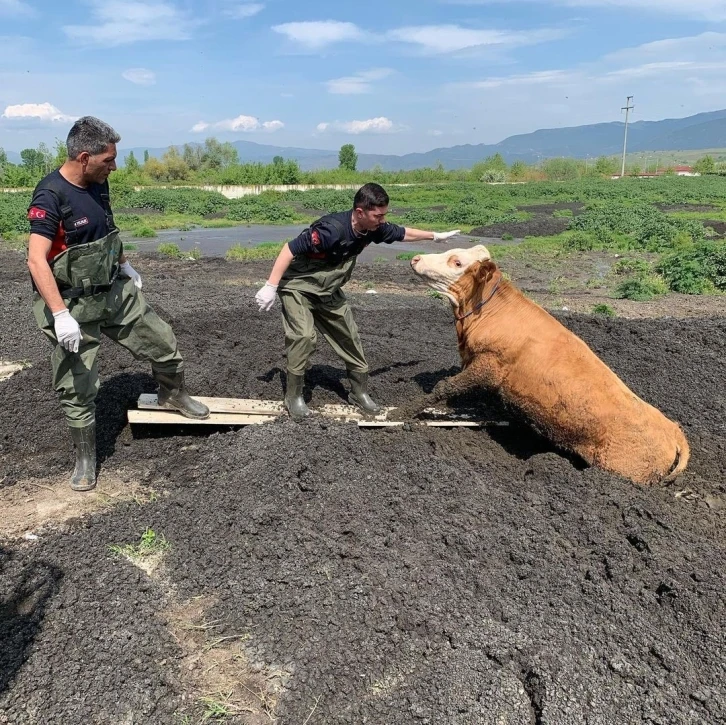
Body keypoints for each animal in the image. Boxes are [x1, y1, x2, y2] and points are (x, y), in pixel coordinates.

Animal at [404, 245, 692, 486]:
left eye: (457, 262)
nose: (416, 258)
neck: (485, 313)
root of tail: (674, 433)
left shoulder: (489, 364)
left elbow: (446, 386)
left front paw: (407, 412)